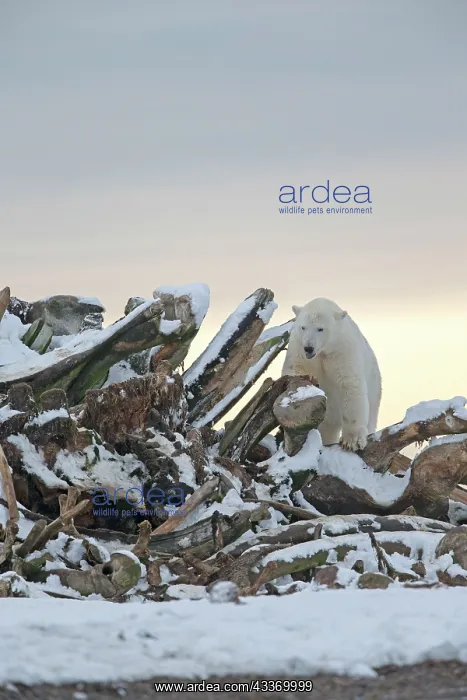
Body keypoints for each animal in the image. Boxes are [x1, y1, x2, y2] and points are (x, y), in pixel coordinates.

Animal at [282, 297, 382, 451]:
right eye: (303, 327)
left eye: (320, 328)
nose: (308, 348)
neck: (323, 352)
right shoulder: (298, 349)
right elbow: (295, 370)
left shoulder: (342, 352)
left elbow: (350, 386)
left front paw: (352, 441)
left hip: (374, 389)